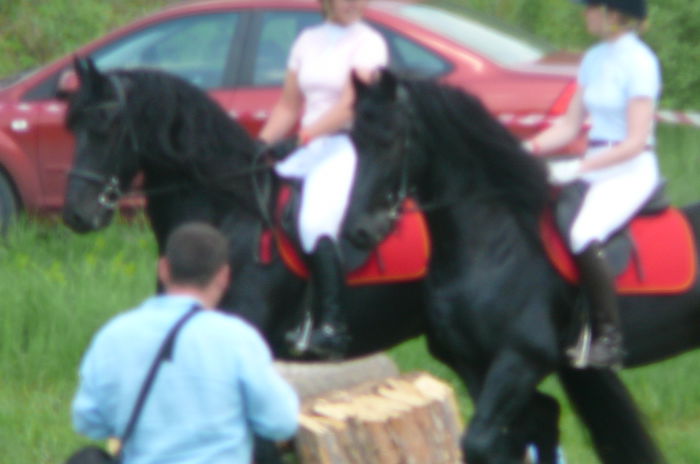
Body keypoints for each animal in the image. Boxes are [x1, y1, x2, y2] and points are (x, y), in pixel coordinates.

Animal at [344, 70, 700, 464]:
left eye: (391, 141)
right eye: (352, 140)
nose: (360, 230)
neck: (495, 246)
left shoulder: (522, 359)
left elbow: (482, 442)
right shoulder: (472, 361)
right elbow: (511, 437)